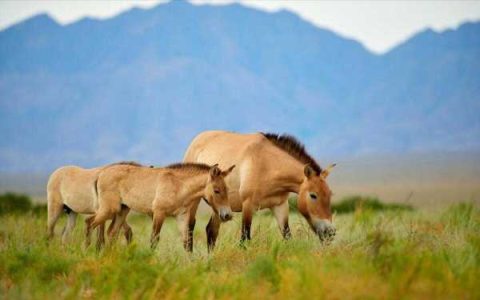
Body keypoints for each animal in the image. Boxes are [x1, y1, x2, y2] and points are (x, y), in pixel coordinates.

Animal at [88, 163, 236, 250]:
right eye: (217, 190)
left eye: (227, 189)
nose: (227, 215)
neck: (179, 185)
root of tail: (100, 174)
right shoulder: (159, 213)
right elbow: (154, 239)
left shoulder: (181, 217)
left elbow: (186, 242)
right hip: (109, 209)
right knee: (89, 223)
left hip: (122, 210)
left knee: (111, 232)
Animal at [184, 130, 338, 250]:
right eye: (313, 195)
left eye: (330, 195)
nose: (330, 232)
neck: (268, 165)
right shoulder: (248, 205)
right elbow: (244, 239)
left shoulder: (280, 206)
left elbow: (287, 237)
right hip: (194, 202)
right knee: (189, 230)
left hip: (219, 207)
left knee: (211, 231)